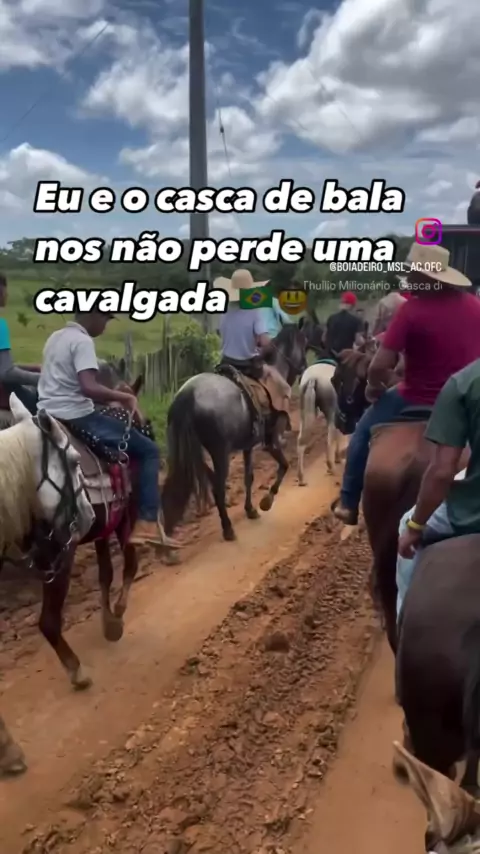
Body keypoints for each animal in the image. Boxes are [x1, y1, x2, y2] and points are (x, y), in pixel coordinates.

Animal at [162, 324, 307, 541]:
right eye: (304, 343)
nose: (305, 367)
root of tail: (188, 395)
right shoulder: (272, 440)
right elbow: (284, 465)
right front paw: (267, 500)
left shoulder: (248, 445)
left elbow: (249, 477)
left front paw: (250, 509)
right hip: (220, 452)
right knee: (218, 488)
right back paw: (228, 527)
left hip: (192, 451)